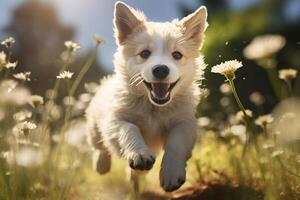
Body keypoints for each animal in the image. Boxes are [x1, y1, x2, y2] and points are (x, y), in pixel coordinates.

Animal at [85, 1, 207, 192]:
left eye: (177, 55)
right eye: (144, 53)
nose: (161, 70)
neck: (154, 108)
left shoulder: (185, 122)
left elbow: (176, 142)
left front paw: (171, 173)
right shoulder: (114, 120)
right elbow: (129, 129)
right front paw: (139, 154)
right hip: (94, 123)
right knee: (98, 145)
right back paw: (102, 164)